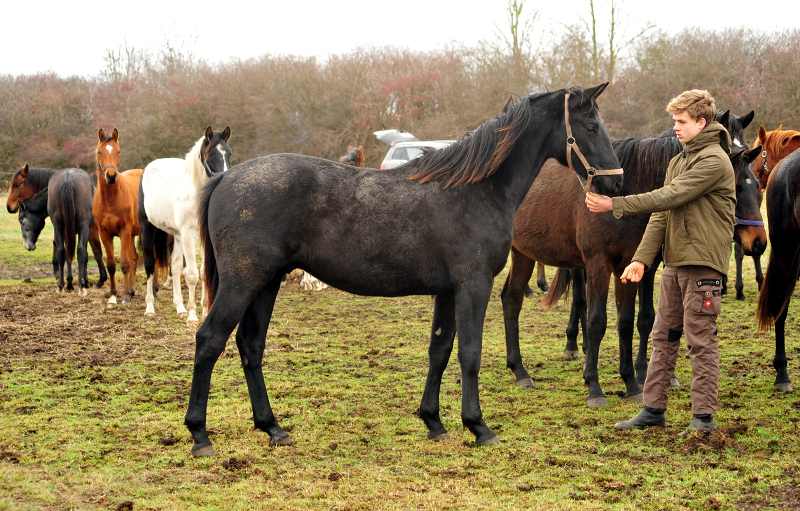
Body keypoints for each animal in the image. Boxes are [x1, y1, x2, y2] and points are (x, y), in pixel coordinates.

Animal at [94, 129, 144, 308]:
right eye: (99, 152)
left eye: (118, 151)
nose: (111, 176)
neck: (110, 199)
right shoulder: (104, 233)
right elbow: (111, 265)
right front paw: (113, 296)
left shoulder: (124, 231)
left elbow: (124, 263)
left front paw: (125, 297)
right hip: (133, 234)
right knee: (135, 258)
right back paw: (132, 290)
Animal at [138, 126, 230, 322]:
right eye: (211, 153)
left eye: (229, 153)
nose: (224, 178)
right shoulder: (189, 234)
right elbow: (192, 275)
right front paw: (193, 316)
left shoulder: (202, 235)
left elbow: (203, 272)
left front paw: (204, 310)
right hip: (147, 229)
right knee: (150, 264)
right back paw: (149, 308)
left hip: (177, 235)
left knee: (174, 265)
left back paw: (180, 308)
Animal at [186, 84, 624, 456]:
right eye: (590, 126)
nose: (616, 184)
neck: (476, 189)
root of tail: (226, 178)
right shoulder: (473, 285)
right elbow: (470, 353)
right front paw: (478, 426)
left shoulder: (447, 291)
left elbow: (440, 351)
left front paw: (434, 421)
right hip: (244, 282)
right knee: (210, 340)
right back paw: (200, 435)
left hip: (266, 284)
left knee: (250, 346)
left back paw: (272, 427)